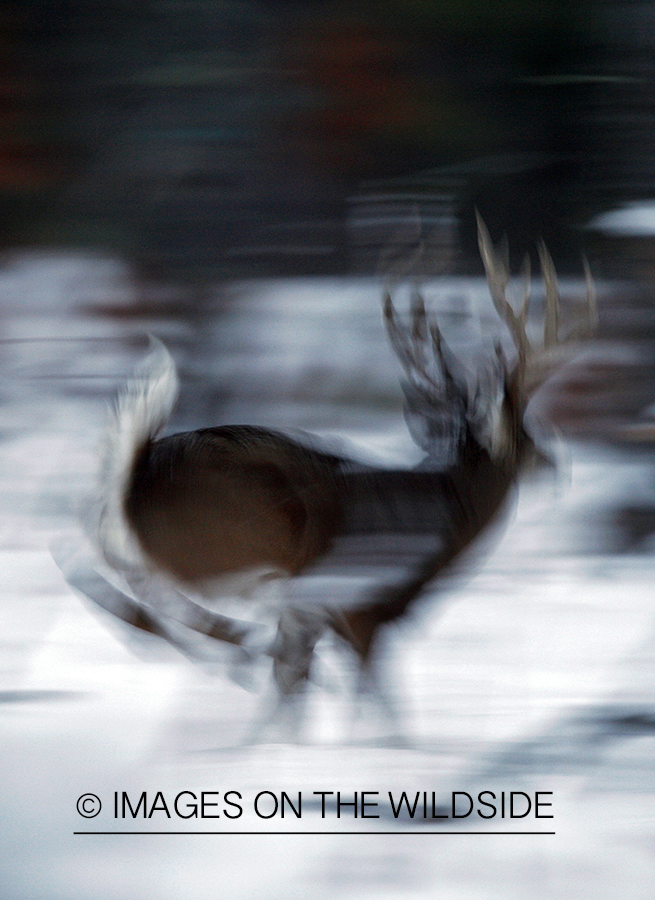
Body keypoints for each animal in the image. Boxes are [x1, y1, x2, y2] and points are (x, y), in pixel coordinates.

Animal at [57, 218, 600, 724]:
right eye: (525, 437)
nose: (560, 466)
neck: (441, 520)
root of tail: (135, 472)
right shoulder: (365, 613)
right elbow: (373, 700)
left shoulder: (341, 619)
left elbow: (301, 682)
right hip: (246, 533)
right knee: (158, 589)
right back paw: (237, 648)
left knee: (105, 568)